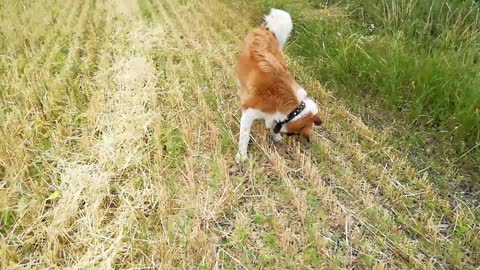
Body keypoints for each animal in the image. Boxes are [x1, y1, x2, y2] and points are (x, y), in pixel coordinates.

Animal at [233, 7, 320, 162]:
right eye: (295, 133)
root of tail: (267, 30)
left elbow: (274, 123)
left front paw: (275, 136)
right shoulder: (249, 112)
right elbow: (245, 137)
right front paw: (242, 156)